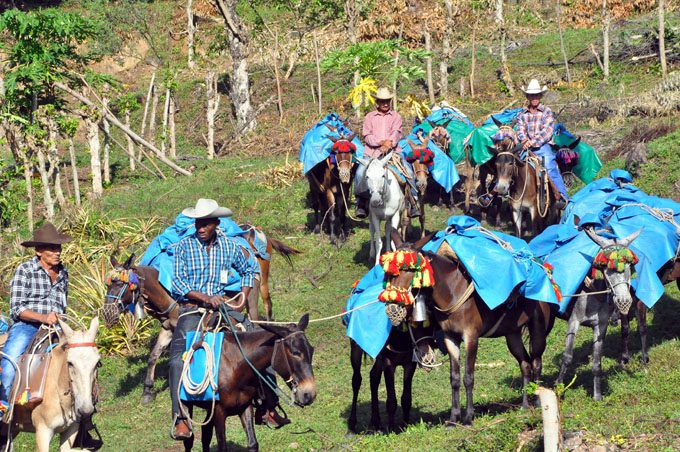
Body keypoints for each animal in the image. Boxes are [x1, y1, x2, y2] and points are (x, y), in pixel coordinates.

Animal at [390, 235, 556, 426]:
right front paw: (453, 418)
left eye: (410, 269)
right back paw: (525, 405)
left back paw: (537, 400)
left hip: (537, 328)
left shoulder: (471, 337)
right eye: (388, 271)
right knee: (525, 364)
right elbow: (454, 378)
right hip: (512, 334)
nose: (393, 304)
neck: (452, 290)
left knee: (536, 362)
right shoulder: (450, 338)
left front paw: (468, 417)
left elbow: (468, 377)